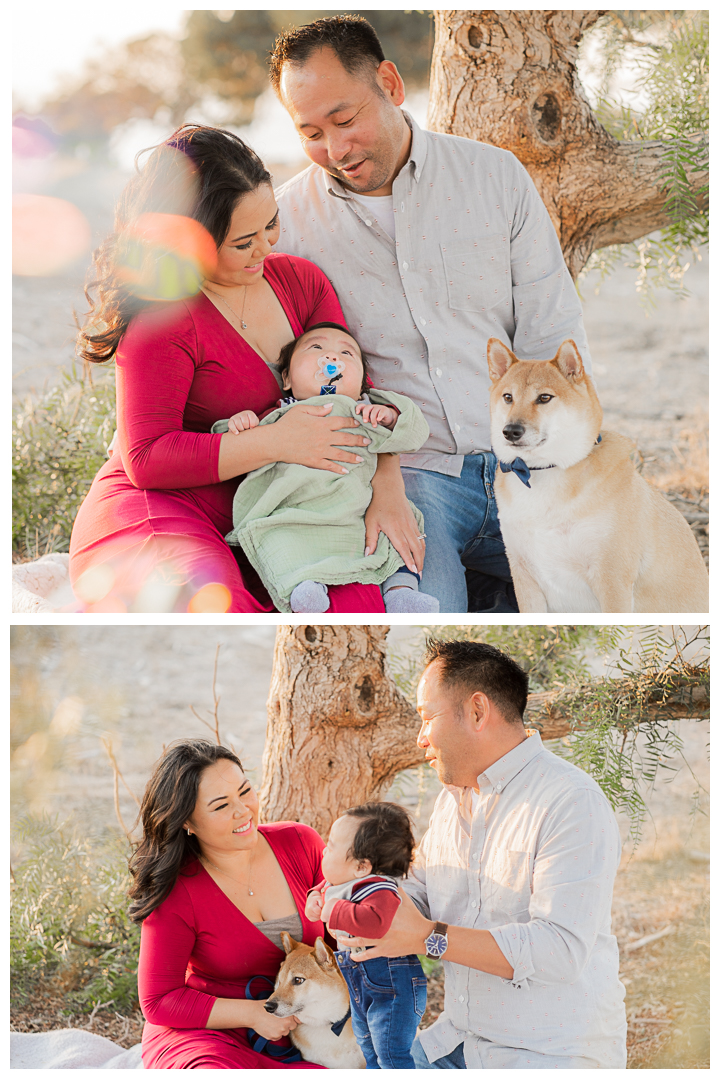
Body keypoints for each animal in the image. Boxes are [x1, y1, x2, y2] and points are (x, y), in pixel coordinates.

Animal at [487, 336, 708, 613]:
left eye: (544, 398)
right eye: (508, 397)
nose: (511, 431)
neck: (544, 471)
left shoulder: (611, 578)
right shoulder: (525, 577)